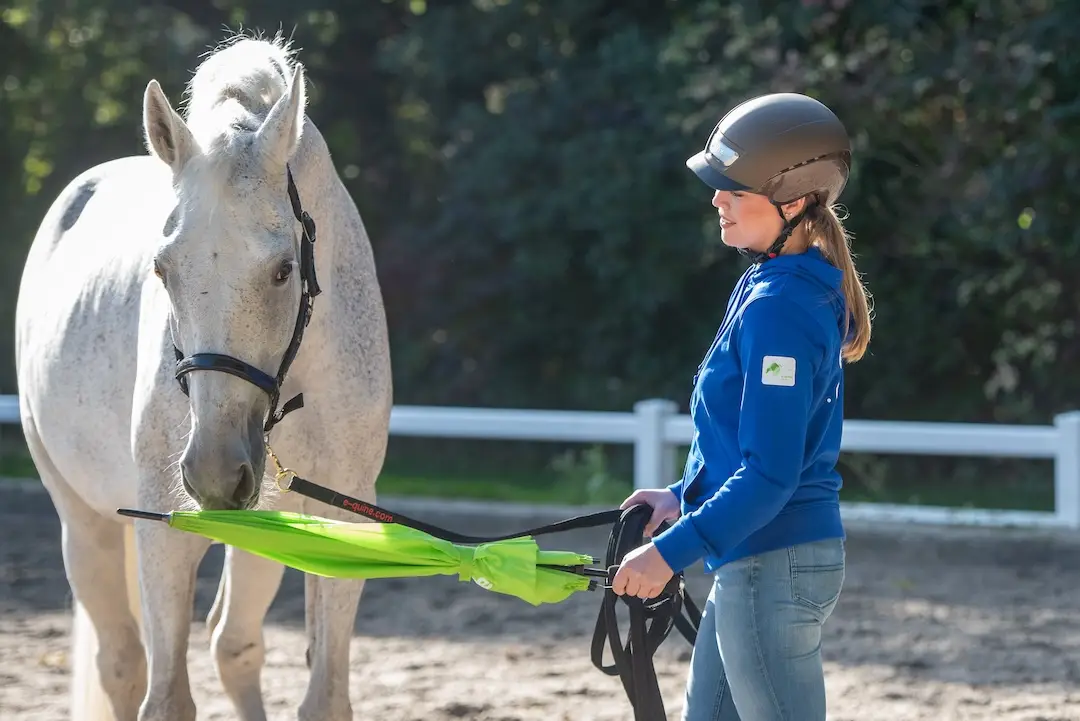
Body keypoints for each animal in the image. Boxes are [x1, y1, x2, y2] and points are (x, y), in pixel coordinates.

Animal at [14, 33, 393, 721]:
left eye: (283, 269)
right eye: (162, 269)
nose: (216, 473)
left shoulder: (341, 521)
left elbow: (323, 694)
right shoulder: (163, 535)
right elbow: (165, 696)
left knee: (232, 644)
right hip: (83, 525)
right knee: (123, 663)